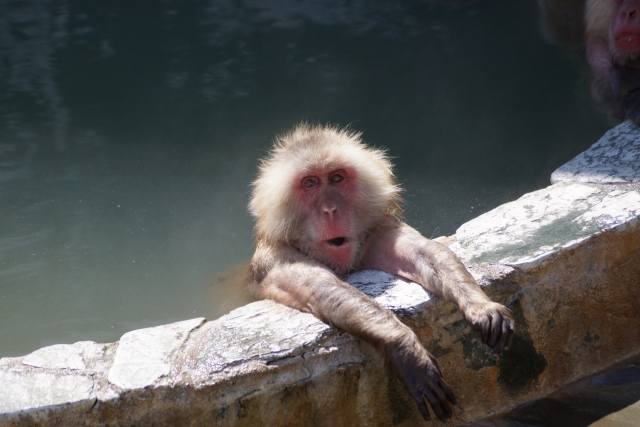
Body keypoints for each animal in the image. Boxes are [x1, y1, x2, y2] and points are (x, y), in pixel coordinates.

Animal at [249, 124, 516, 424]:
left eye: (337, 178)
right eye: (310, 184)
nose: (330, 210)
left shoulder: (378, 228)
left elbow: (427, 253)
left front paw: (481, 306)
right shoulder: (275, 258)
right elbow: (323, 288)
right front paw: (405, 349)